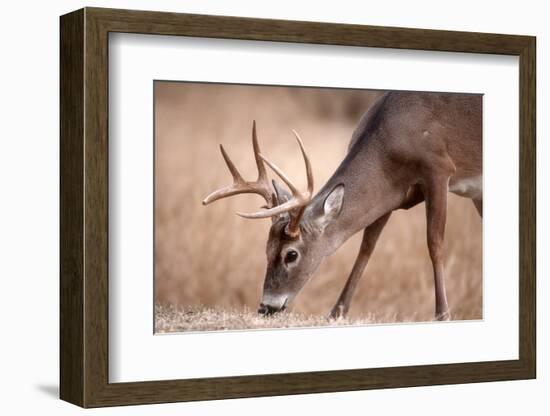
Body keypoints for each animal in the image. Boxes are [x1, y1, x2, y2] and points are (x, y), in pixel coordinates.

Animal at [204, 91, 484, 320]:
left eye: (291, 254)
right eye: (267, 249)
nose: (266, 307)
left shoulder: (439, 169)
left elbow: (434, 243)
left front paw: (443, 314)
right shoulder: (390, 194)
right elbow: (366, 247)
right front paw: (336, 312)